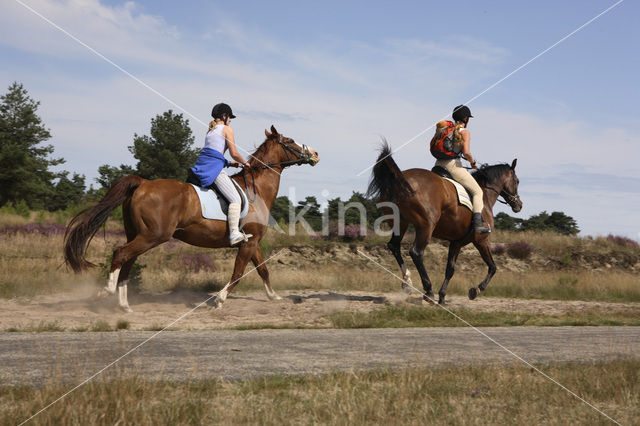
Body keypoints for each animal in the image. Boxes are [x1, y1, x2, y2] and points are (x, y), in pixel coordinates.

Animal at [65, 125, 320, 312]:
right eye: (289, 141)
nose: (315, 154)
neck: (256, 190)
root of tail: (144, 183)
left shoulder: (253, 241)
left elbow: (263, 270)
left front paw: (274, 297)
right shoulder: (248, 243)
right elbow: (238, 273)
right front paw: (219, 299)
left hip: (138, 234)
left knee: (127, 260)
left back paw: (124, 305)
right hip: (153, 236)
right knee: (120, 253)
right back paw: (107, 293)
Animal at [368, 145, 524, 304]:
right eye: (517, 181)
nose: (519, 205)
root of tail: (399, 178)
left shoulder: (456, 242)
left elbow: (450, 269)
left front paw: (442, 296)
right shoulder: (481, 240)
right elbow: (493, 267)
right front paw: (476, 290)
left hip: (401, 223)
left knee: (394, 246)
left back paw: (407, 282)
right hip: (426, 227)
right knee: (416, 253)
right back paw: (428, 291)